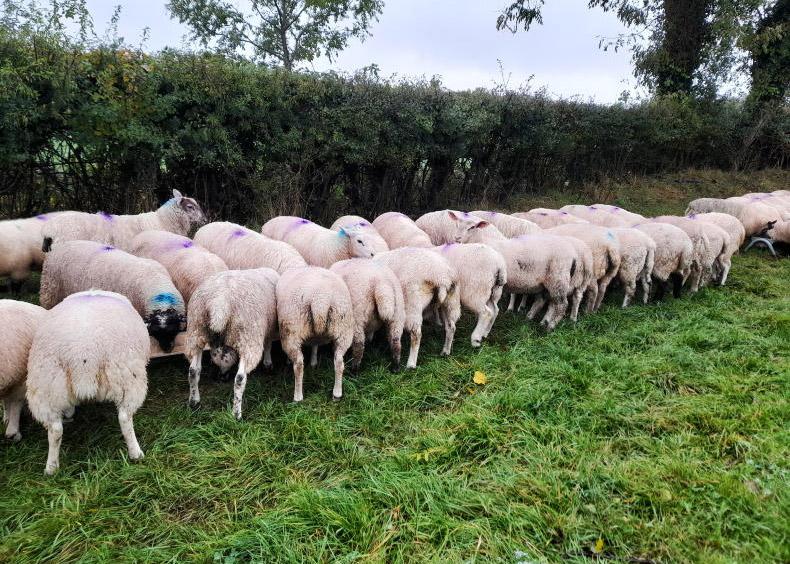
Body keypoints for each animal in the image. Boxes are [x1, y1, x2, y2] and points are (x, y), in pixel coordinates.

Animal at [25, 290, 150, 475]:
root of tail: (83, 353)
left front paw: (69, 412)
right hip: (127, 378)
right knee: (125, 418)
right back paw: (136, 453)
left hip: (45, 385)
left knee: (55, 430)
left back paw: (51, 468)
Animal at [39, 240, 186, 352]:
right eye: (156, 332)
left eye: (173, 330)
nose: (167, 349)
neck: (155, 281)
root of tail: (56, 247)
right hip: (50, 288)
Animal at [184, 268, 279, 418]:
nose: (222, 377)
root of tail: (219, 303)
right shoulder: (268, 327)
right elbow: (268, 344)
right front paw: (268, 363)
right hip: (248, 338)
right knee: (240, 379)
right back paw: (237, 413)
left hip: (196, 331)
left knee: (193, 370)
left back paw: (194, 402)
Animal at [276, 267, 354, 402]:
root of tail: (320, 299)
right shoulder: (316, 335)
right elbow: (315, 345)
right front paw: (313, 362)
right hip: (343, 328)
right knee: (339, 362)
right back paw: (337, 394)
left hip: (291, 331)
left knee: (298, 365)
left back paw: (297, 397)